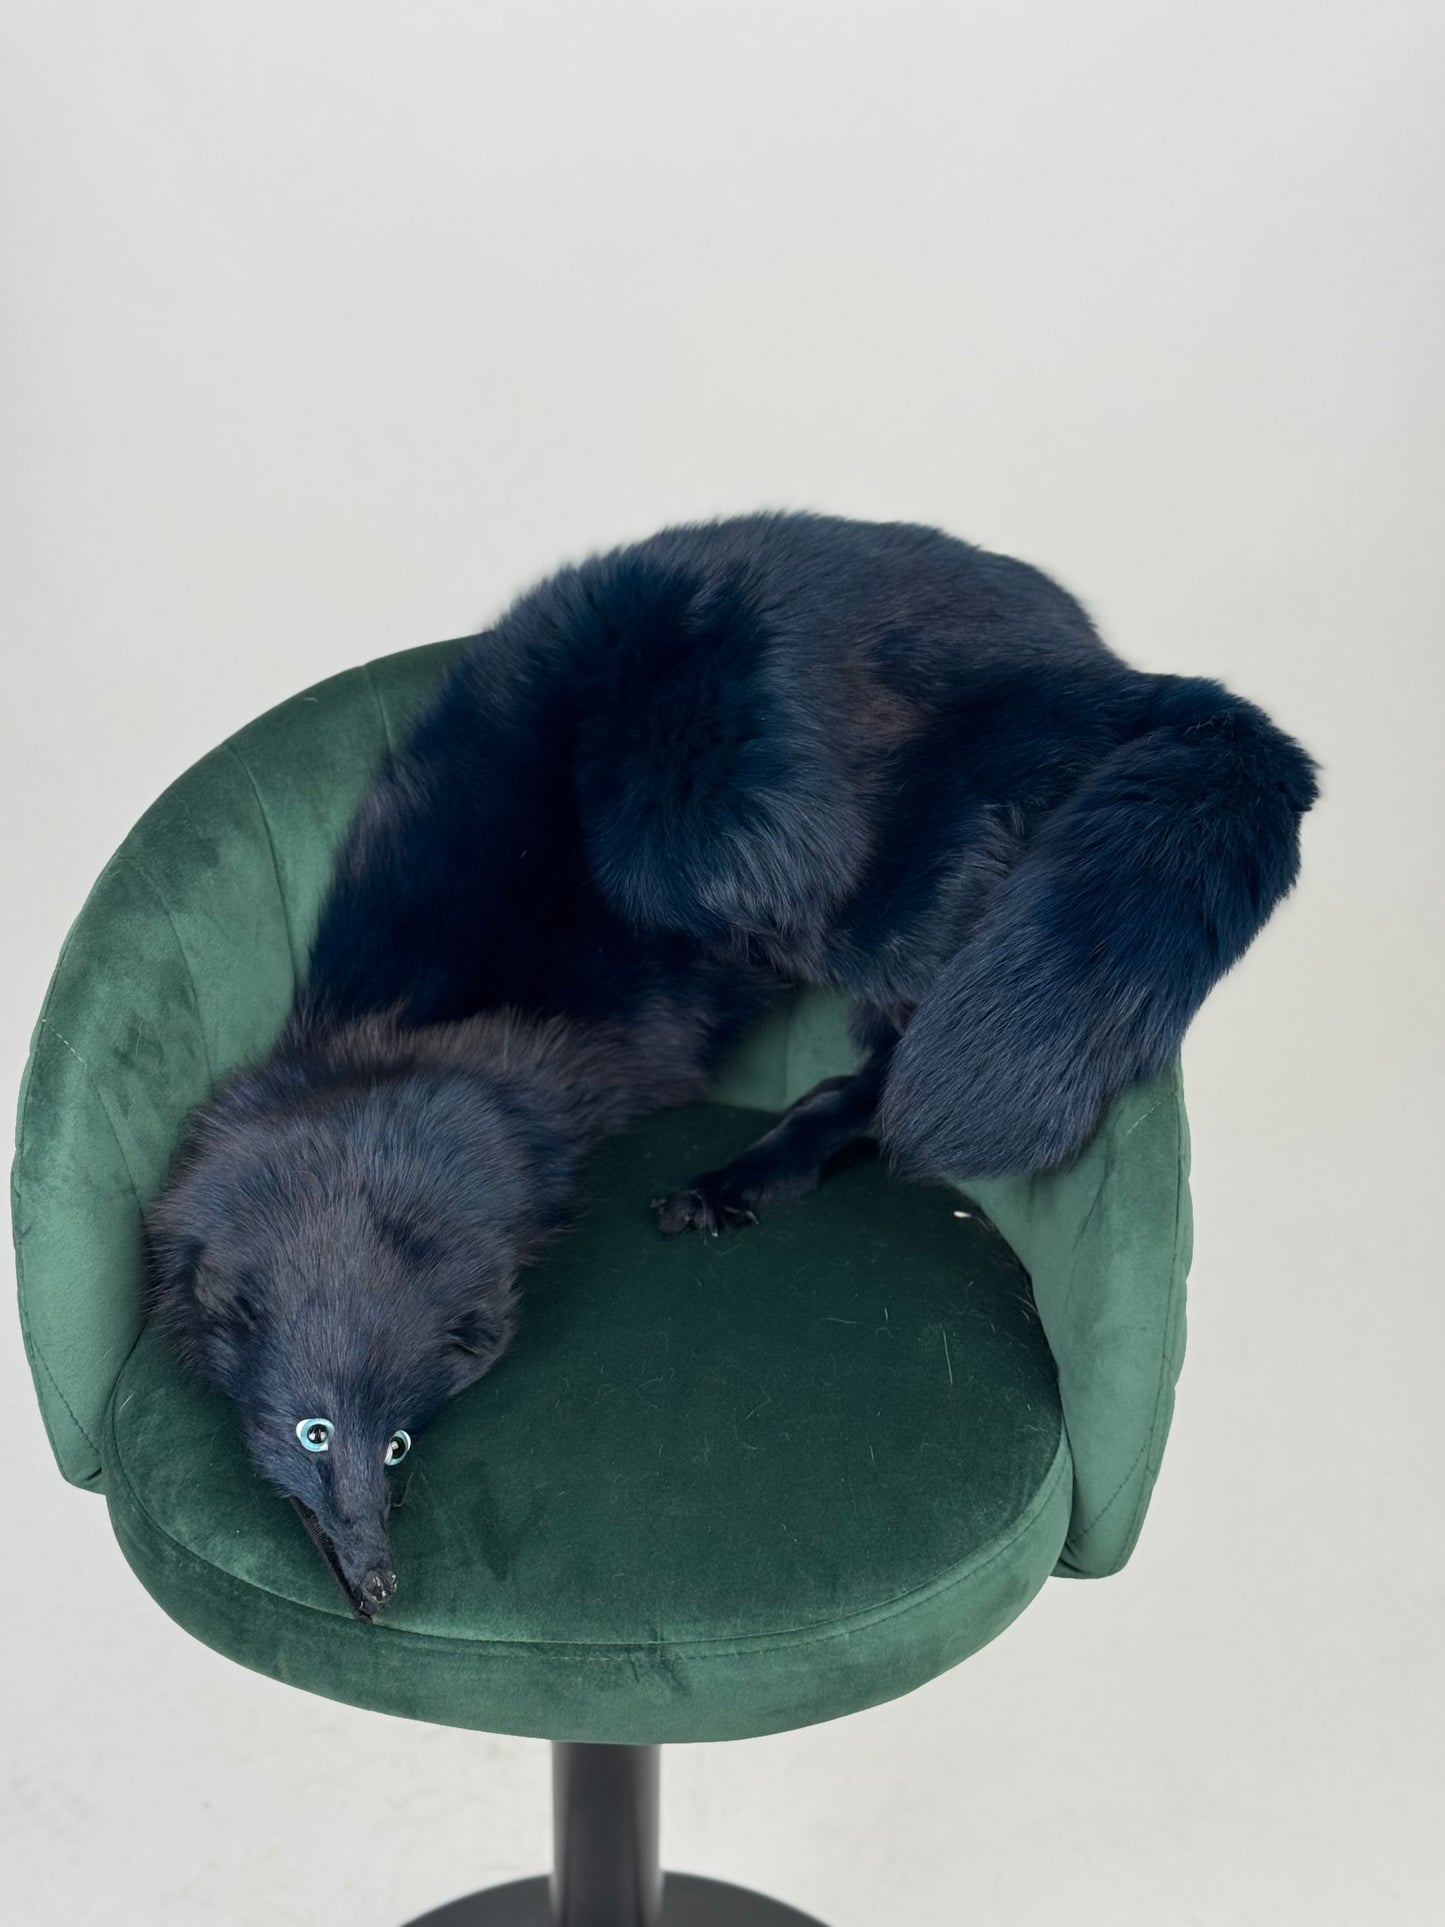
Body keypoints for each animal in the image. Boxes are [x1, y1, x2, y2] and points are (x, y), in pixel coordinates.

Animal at [147, 511, 1317, 1618]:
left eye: (396, 1443)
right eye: (314, 1433)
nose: (383, 1579)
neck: (425, 1079)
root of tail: (1100, 675)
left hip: (714, 828)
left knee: (894, 1076)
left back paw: (739, 1178)